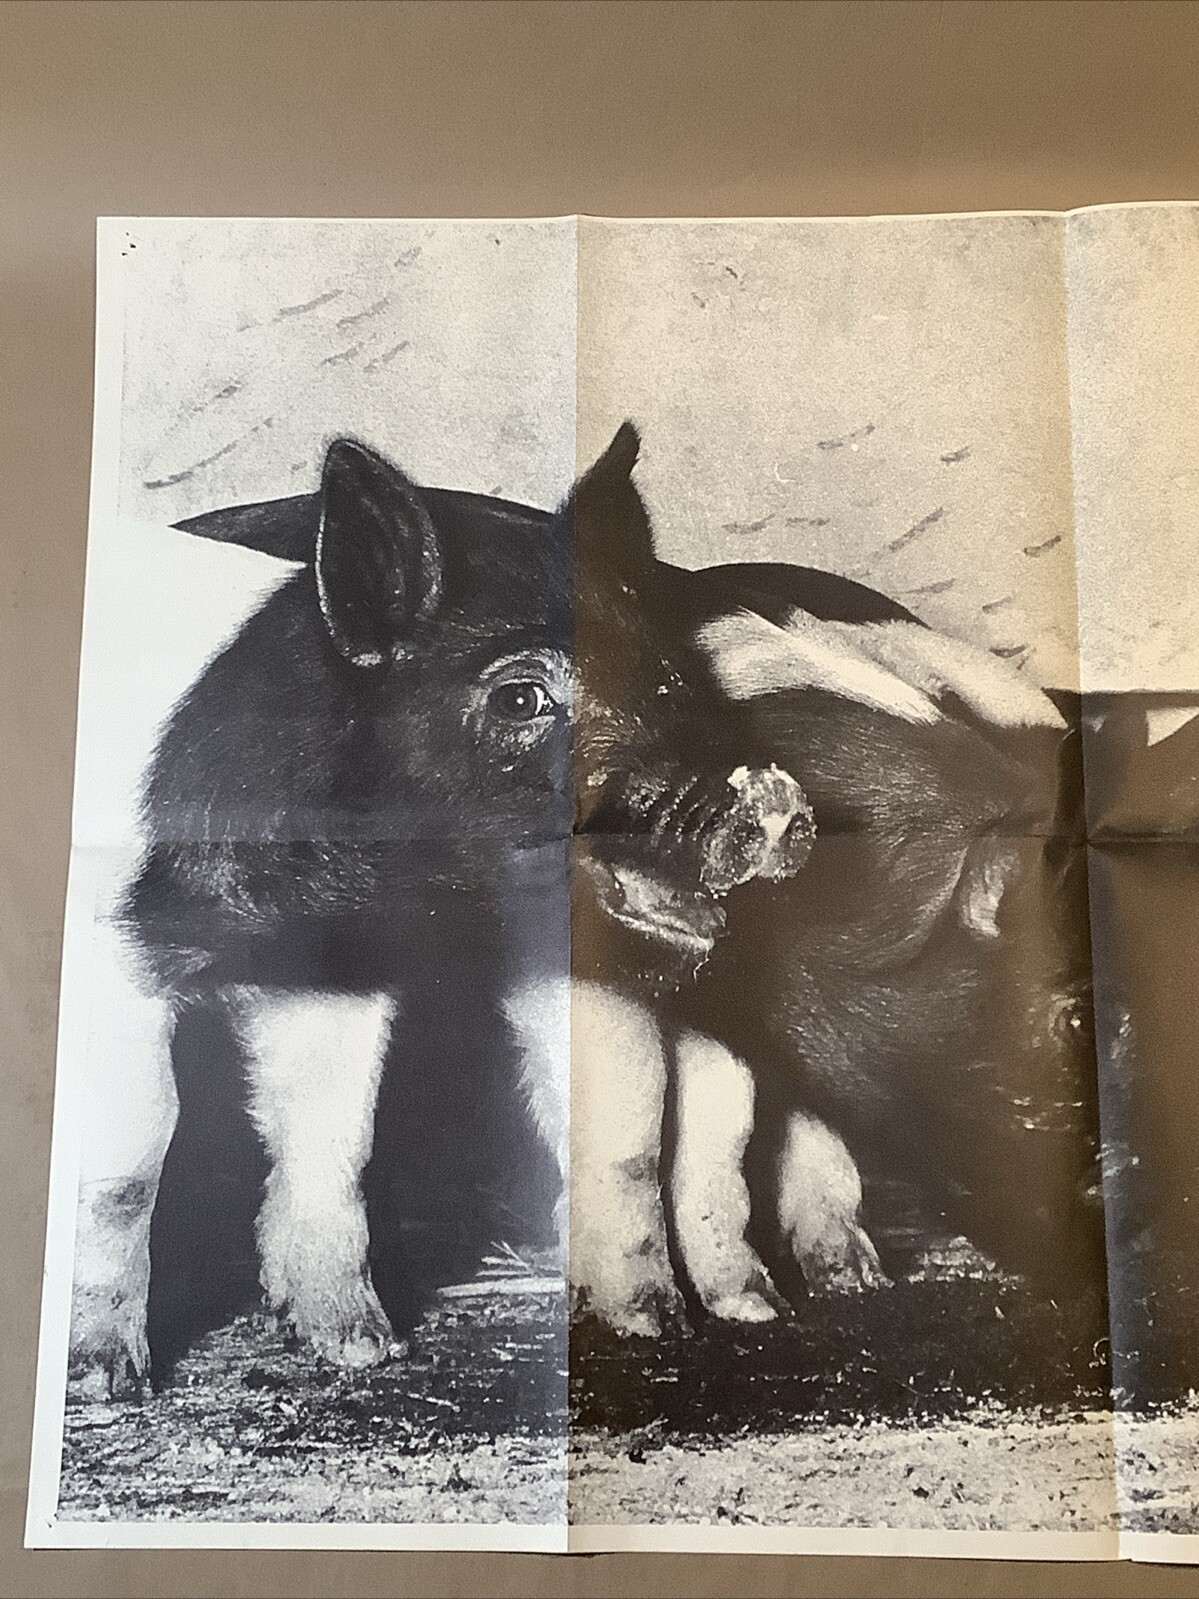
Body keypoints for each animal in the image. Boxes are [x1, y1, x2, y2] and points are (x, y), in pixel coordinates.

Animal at [69, 425, 812, 1395]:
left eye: (665, 679)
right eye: (519, 695)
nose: (778, 800)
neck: (302, 900)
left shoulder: (332, 977)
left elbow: (336, 1138)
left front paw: (360, 1347)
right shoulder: (112, 957)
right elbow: (130, 1162)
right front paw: (102, 1384)